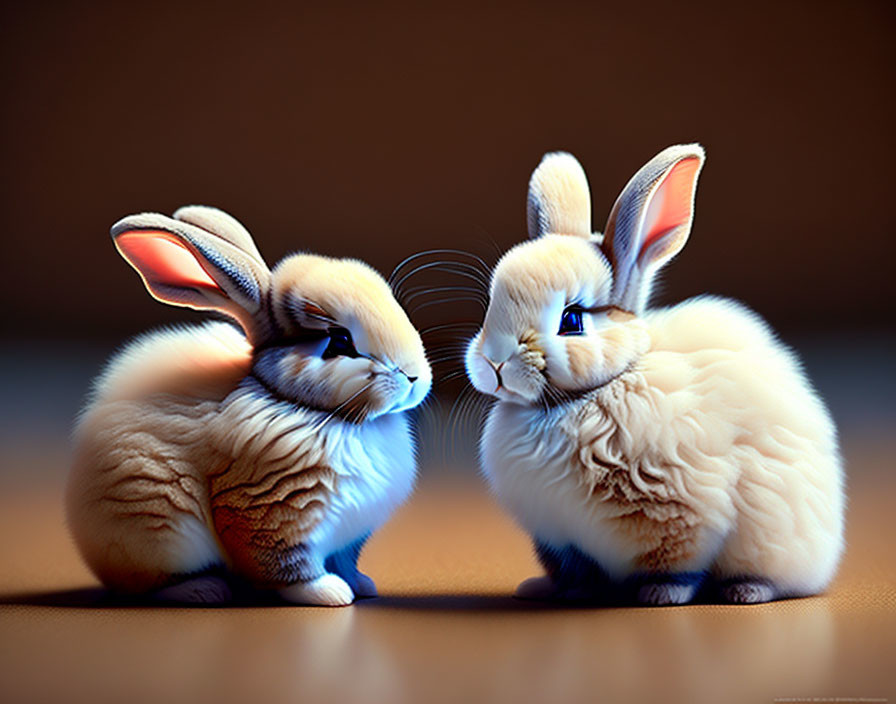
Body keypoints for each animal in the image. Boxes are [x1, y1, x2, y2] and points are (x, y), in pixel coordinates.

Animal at [66, 205, 430, 604]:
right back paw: (203, 590)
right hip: (159, 526)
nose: (414, 376)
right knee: (150, 583)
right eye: (339, 341)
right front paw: (329, 593)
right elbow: (284, 564)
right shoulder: (265, 513)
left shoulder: (349, 536)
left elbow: (345, 561)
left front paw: (361, 585)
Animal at [466, 144, 844, 604]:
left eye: (571, 320)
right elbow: (575, 573)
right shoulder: (559, 536)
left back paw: (745, 591)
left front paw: (662, 595)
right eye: (492, 305)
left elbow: (679, 562)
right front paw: (555, 590)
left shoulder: (685, 509)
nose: (494, 362)